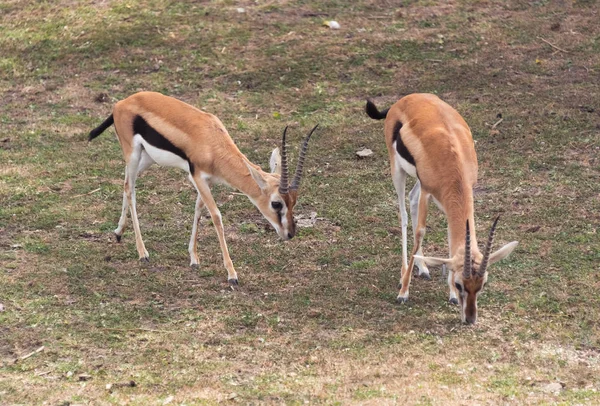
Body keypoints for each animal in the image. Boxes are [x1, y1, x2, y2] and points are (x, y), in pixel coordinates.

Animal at [89, 91, 318, 286]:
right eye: (276, 203)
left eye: (294, 201)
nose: (290, 233)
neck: (212, 143)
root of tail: (122, 103)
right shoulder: (197, 177)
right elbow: (216, 216)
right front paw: (232, 274)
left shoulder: (208, 182)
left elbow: (199, 209)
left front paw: (194, 258)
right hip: (134, 154)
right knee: (130, 189)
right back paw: (142, 253)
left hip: (147, 159)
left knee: (127, 183)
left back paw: (119, 232)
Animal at [364, 94, 516, 324]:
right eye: (461, 284)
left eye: (483, 284)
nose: (470, 318)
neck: (454, 161)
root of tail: (406, 99)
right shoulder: (428, 191)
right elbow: (420, 232)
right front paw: (404, 293)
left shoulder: (447, 201)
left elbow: (450, 239)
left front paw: (450, 295)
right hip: (397, 171)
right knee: (404, 214)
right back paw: (403, 275)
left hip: (418, 182)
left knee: (412, 198)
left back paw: (423, 268)